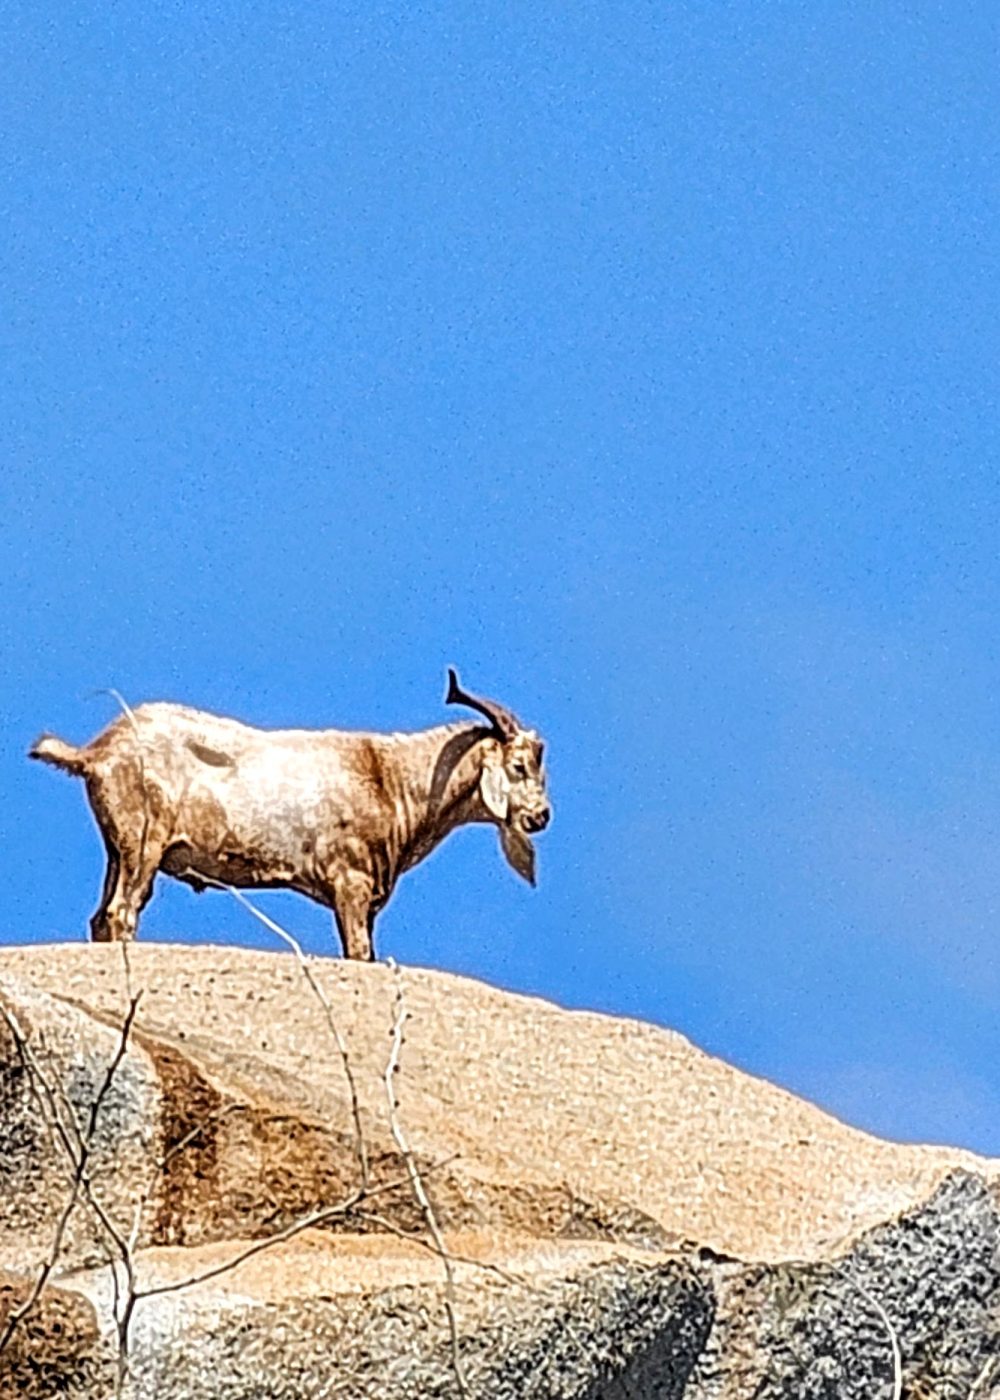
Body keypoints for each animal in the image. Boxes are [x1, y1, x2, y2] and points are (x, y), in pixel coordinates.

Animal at [29, 671, 551, 959]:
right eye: (519, 765)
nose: (542, 816)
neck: (389, 777)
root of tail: (96, 752)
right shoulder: (350, 880)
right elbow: (359, 953)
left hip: (116, 847)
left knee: (101, 917)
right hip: (144, 841)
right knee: (122, 911)